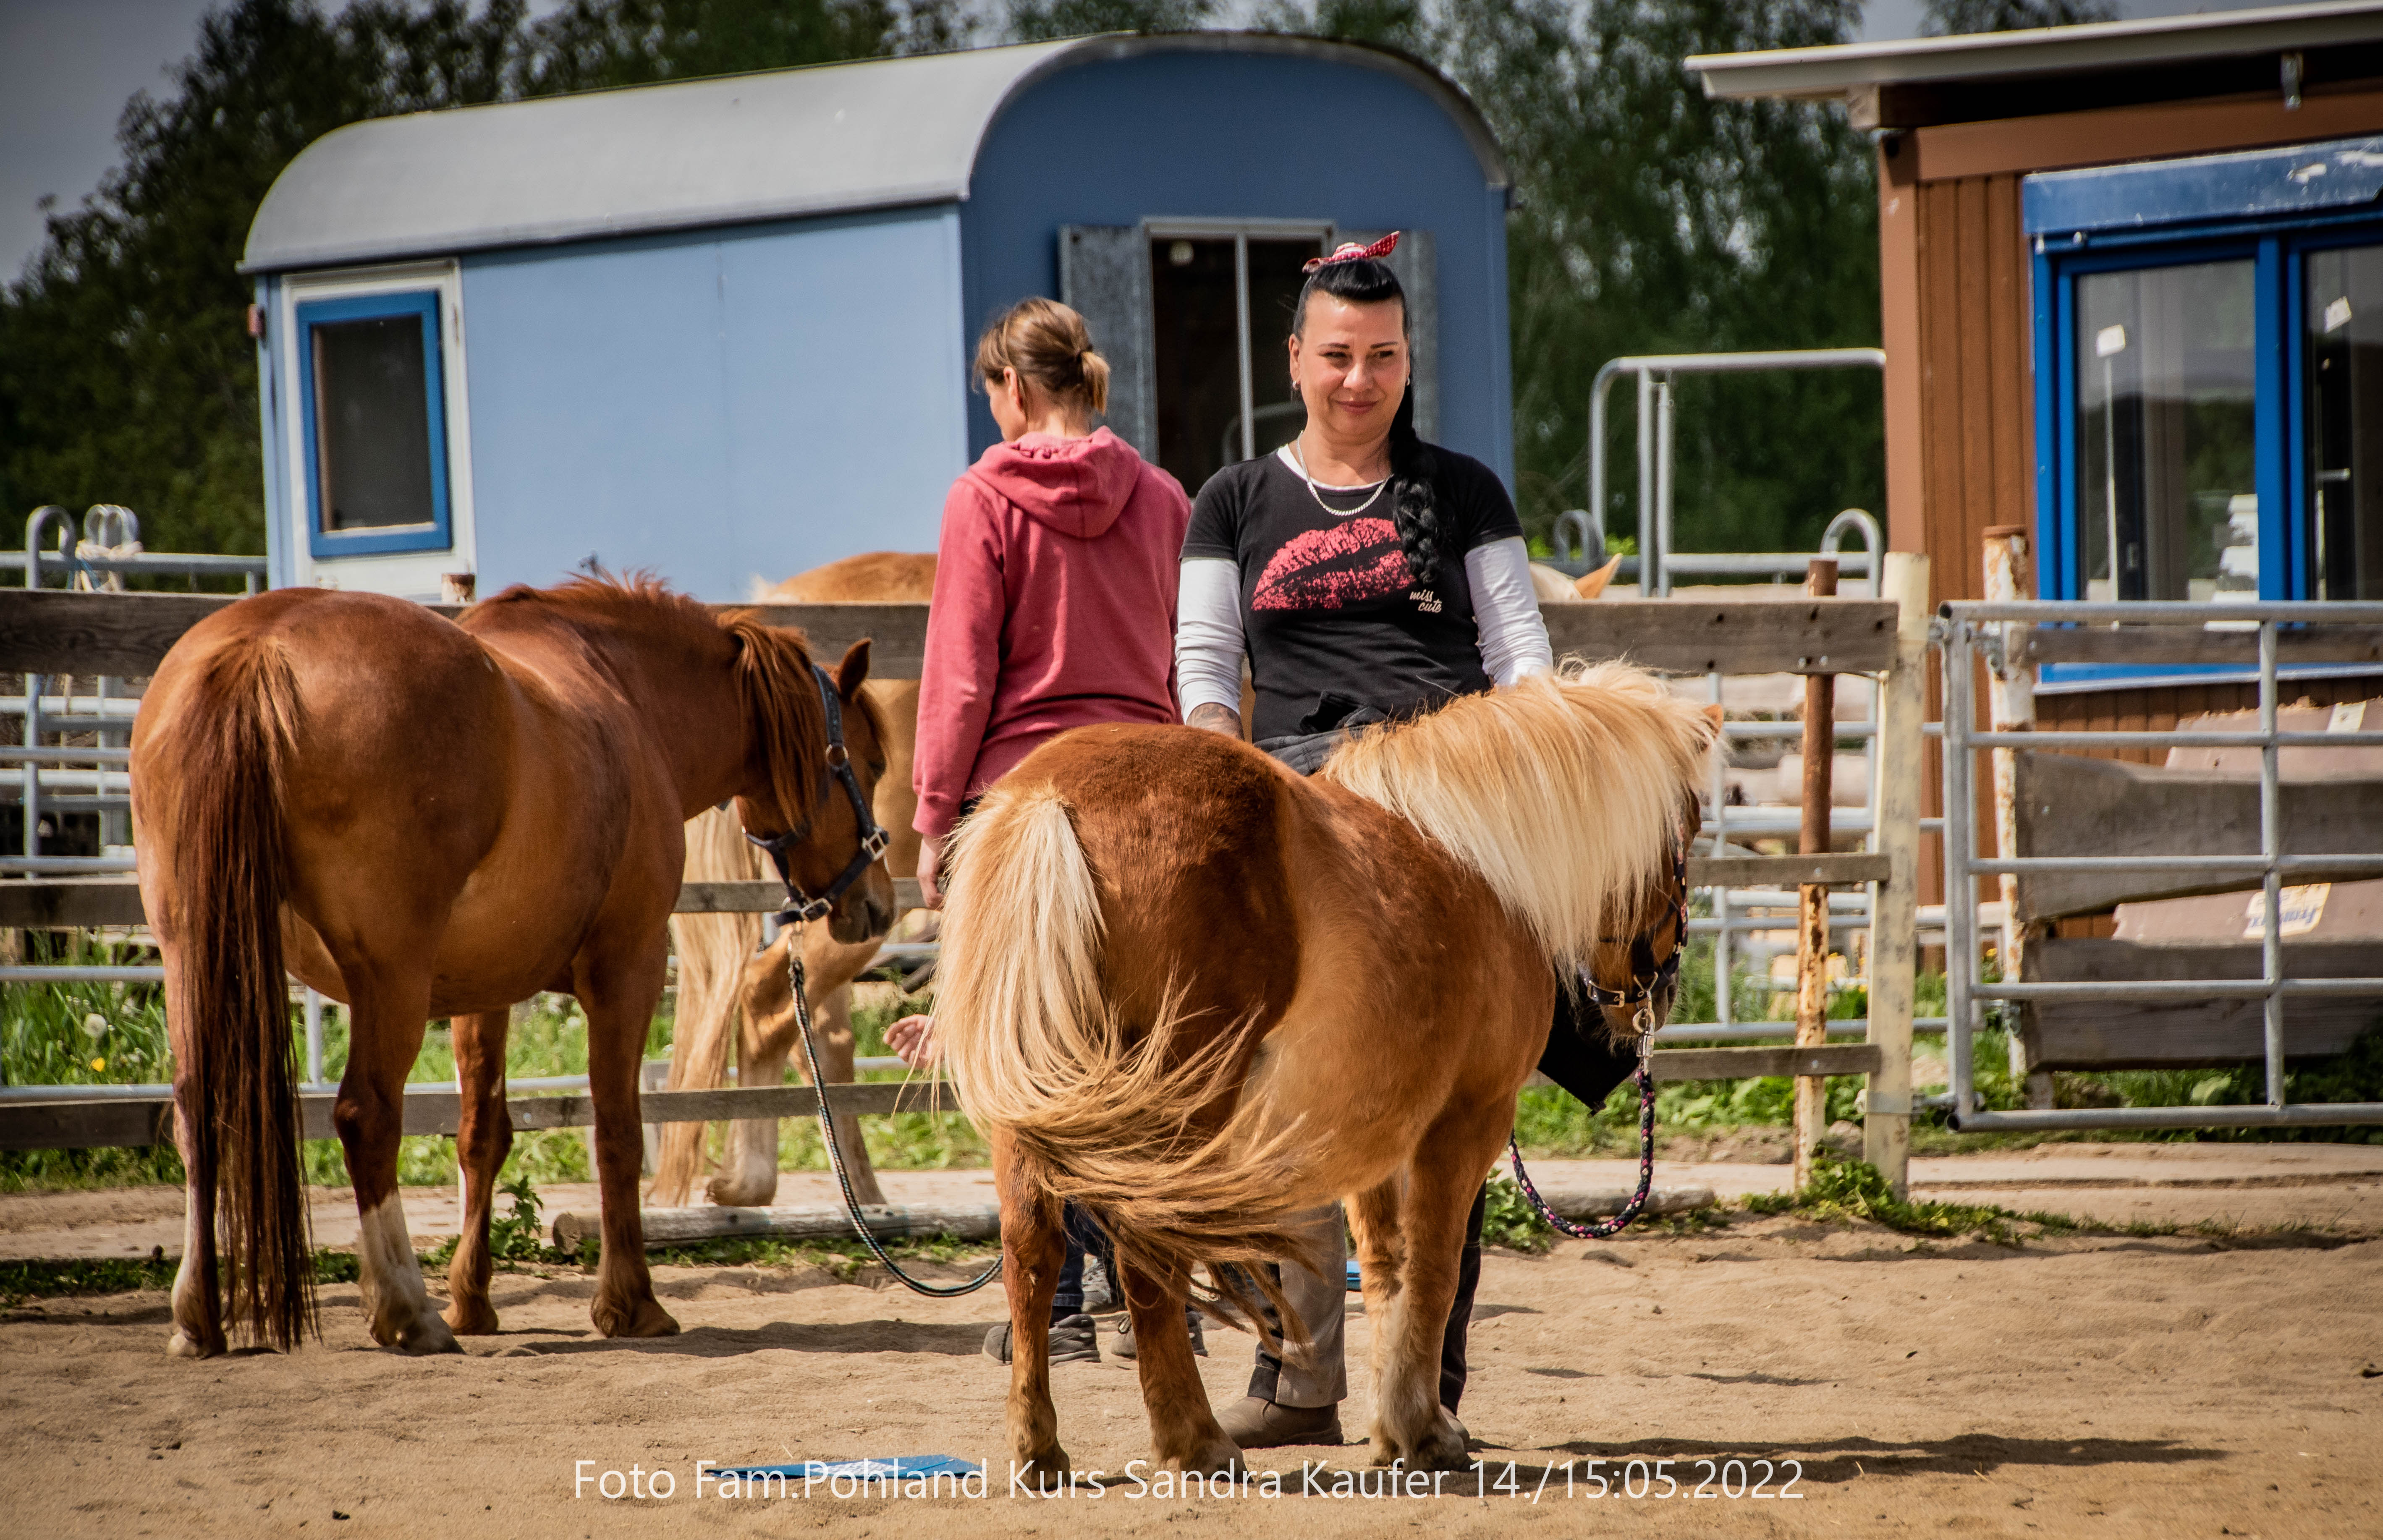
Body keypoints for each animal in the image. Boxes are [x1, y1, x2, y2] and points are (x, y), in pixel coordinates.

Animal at [131, 576, 895, 1357]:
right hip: (389, 978)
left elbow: (482, 1136)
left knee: (197, 1109)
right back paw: (406, 1306)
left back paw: (199, 1313)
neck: (628, 698)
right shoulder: (628, 967)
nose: (876, 904)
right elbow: (617, 1131)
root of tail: (260, 651)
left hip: (193, 954)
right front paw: (631, 1302)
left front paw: (474, 1297)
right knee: (366, 1116)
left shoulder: (482, 991)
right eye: (871, 765)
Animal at [936, 659, 1718, 1477]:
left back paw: (1040, 1446)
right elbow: (1436, 1266)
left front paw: (1392, 1420)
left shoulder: (1372, 1124)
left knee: (1031, 1252)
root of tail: (1048, 797)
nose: (1657, 991)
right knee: (1149, 1256)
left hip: (1038, 1108)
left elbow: (1384, 1267)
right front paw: (1423, 1428)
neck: (1478, 864)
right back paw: (1196, 1439)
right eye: (1688, 831)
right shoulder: (1468, 1115)